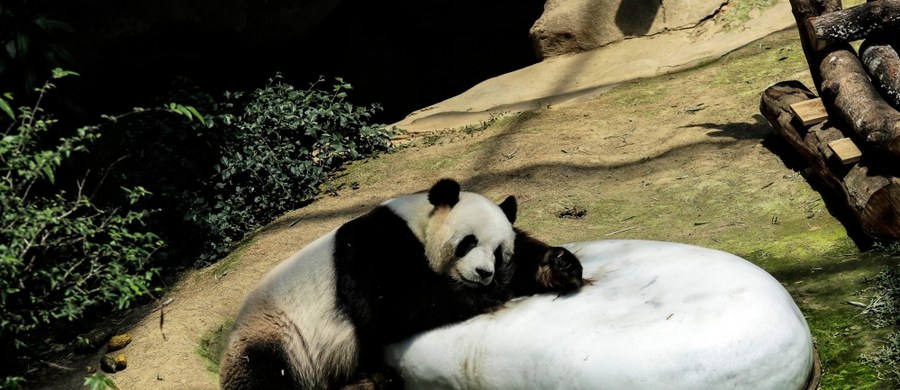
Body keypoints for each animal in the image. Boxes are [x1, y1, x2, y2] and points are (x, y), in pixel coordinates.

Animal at [218, 181, 584, 390]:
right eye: (468, 242)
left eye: (498, 251)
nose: (485, 273)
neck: (418, 222)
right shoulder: (372, 250)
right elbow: (391, 306)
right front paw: (495, 288)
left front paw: (559, 265)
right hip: (278, 338)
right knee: (263, 375)